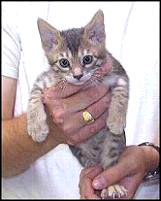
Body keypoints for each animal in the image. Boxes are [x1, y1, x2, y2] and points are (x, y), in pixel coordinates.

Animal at [27, 9, 129, 199]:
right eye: (64, 63)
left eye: (87, 59)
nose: (78, 75)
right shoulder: (45, 80)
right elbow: (33, 96)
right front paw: (36, 127)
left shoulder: (118, 72)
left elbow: (122, 93)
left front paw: (116, 121)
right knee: (92, 165)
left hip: (113, 143)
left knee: (109, 165)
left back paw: (112, 186)